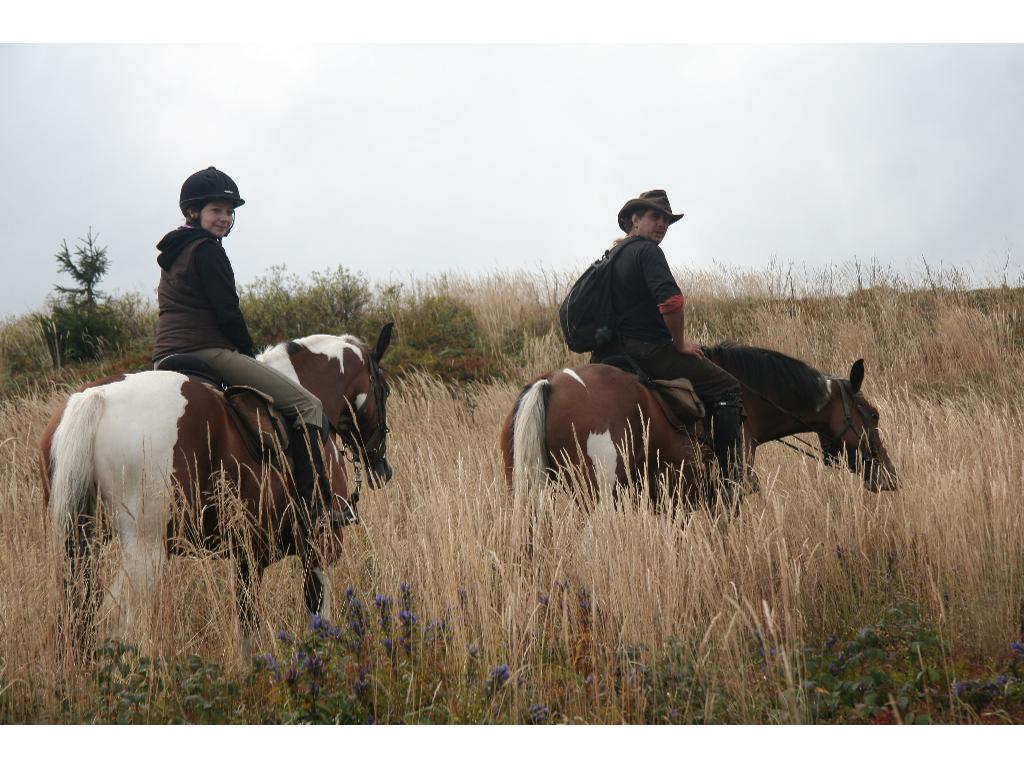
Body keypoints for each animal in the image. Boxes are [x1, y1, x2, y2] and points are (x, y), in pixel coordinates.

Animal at [40, 323, 391, 655]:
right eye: (385, 391)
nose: (382, 468)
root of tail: (95, 398)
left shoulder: (249, 558)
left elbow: (249, 631)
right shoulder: (321, 545)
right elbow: (319, 615)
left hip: (82, 546)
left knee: (76, 618)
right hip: (145, 551)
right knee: (113, 618)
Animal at [501, 342, 897, 505]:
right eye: (874, 414)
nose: (890, 477)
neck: (747, 399)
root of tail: (550, 382)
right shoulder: (722, 496)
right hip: (599, 497)